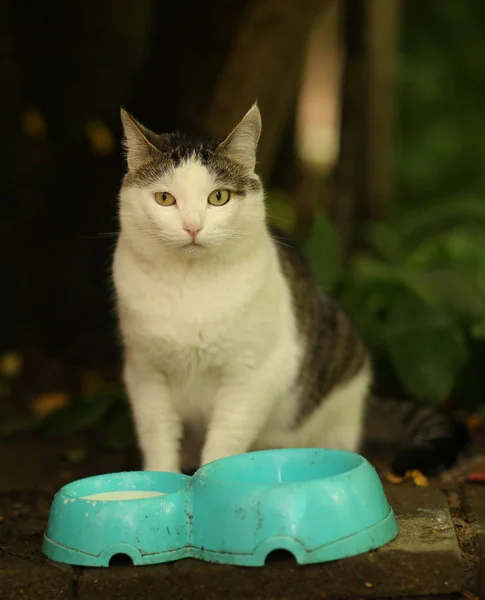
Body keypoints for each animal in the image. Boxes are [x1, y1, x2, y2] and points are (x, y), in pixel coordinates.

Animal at [111, 104, 466, 478]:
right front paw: (160, 481)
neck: (191, 285)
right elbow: (158, 438)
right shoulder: (145, 373)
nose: (192, 226)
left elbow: (224, 441)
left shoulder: (252, 375)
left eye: (218, 197)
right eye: (165, 198)